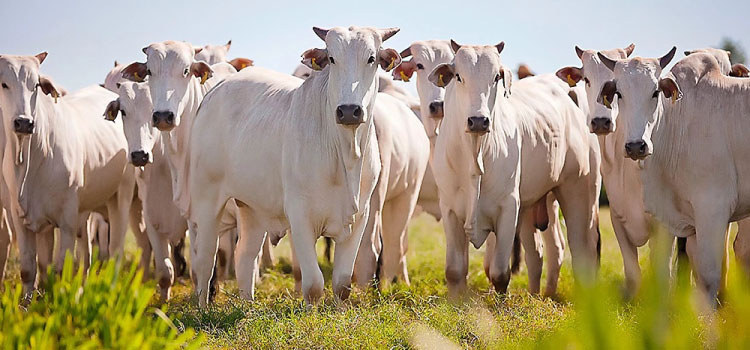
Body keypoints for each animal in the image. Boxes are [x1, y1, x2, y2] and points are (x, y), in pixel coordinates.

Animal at [0, 52, 137, 296]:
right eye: (3, 83)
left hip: (121, 195)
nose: (24, 122)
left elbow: (60, 269)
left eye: (36, 84)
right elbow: (32, 269)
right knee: (87, 253)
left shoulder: (66, 220)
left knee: (115, 251)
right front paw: (29, 302)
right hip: (85, 211)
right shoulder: (22, 218)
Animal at [186, 26, 402, 306]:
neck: (345, 153)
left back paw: (248, 306)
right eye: (332, 58)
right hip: (207, 199)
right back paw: (203, 308)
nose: (349, 110)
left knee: (245, 256)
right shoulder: (300, 216)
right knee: (205, 258)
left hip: (252, 207)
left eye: (371, 58)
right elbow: (313, 284)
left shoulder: (360, 216)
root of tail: (218, 88)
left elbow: (342, 283)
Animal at [432, 42, 604, 296]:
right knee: (542, 251)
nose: (478, 121)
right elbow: (455, 271)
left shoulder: (508, 208)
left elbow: (500, 274)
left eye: (496, 76)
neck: (475, 153)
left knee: (583, 250)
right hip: (536, 204)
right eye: (458, 76)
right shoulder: (450, 209)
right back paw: (540, 295)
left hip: (580, 193)